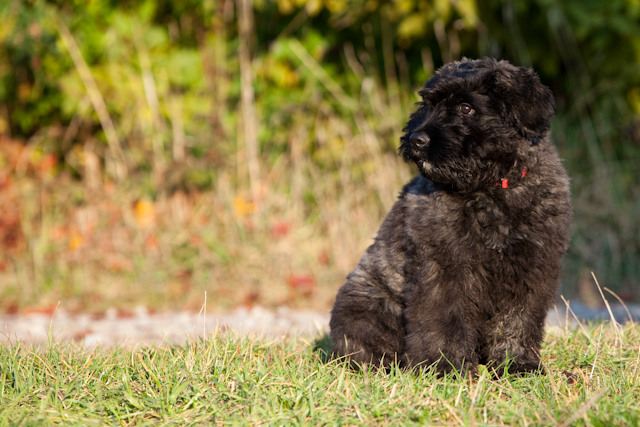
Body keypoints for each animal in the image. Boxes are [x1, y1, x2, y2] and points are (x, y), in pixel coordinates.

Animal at [330, 57, 568, 378]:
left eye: (466, 108)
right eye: (427, 104)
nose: (416, 139)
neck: (492, 189)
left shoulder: (532, 266)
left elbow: (518, 321)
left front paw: (517, 365)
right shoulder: (444, 268)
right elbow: (444, 321)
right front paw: (445, 367)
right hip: (366, 307)